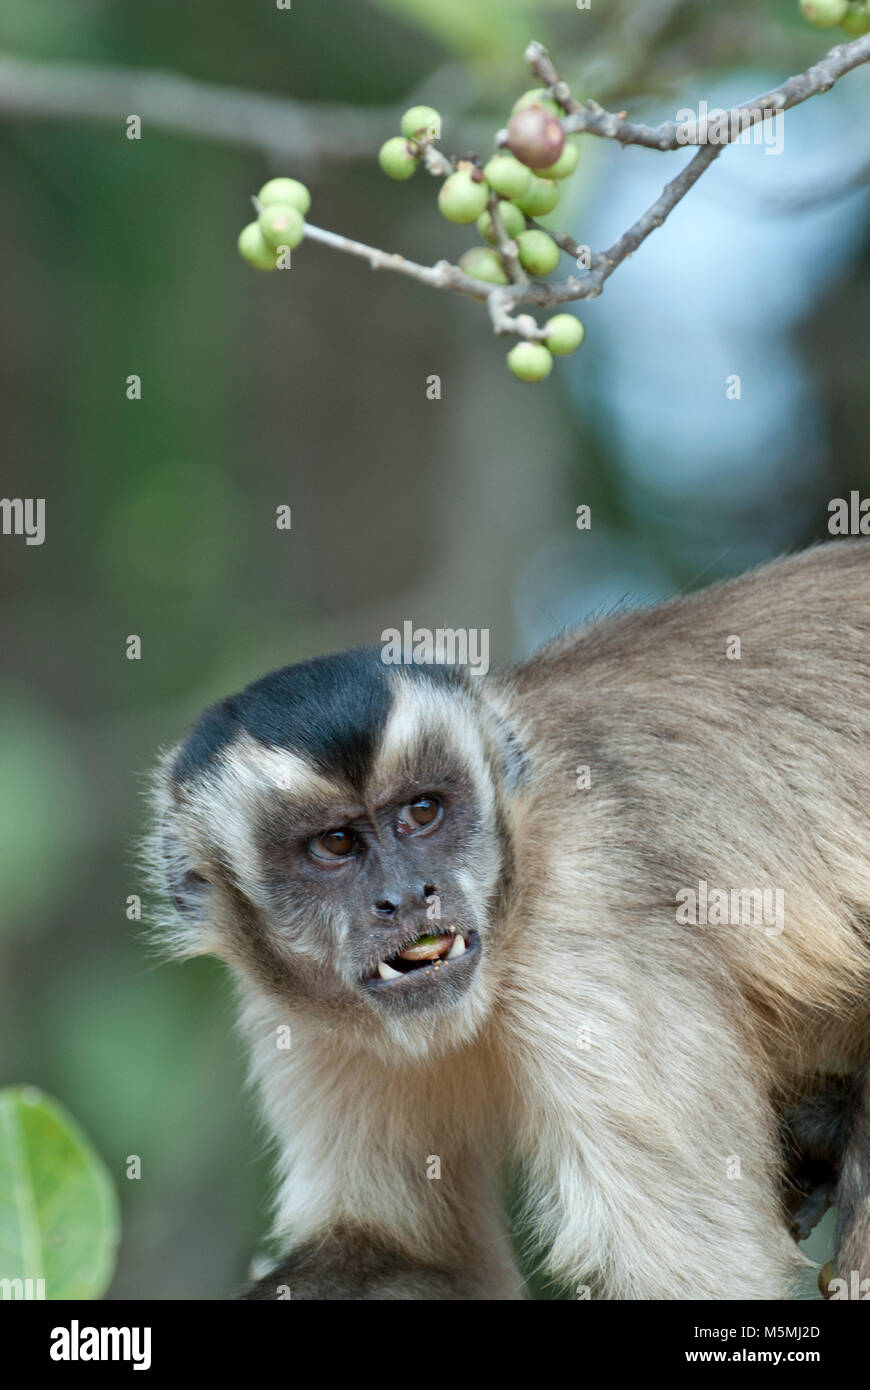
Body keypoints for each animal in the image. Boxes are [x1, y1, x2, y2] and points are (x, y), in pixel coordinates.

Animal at [152, 542, 867, 1301]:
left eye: (422, 812)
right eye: (336, 845)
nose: (408, 896)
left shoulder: (585, 929)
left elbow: (705, 1278)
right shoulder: (290, 1009)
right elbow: (413, 1255)